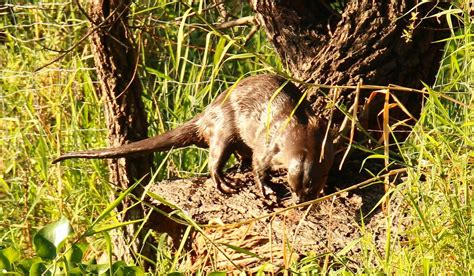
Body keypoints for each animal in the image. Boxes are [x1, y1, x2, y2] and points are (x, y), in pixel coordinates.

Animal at [53, 74, 334, 202]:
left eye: (309, 185)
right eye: (293, 184)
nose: (299, 200)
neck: (297, 127)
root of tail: (207, 113)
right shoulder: (267, 145)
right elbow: (259, 166)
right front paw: (266, 189)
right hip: (224, 128)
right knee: (216, 159)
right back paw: (225, 182)